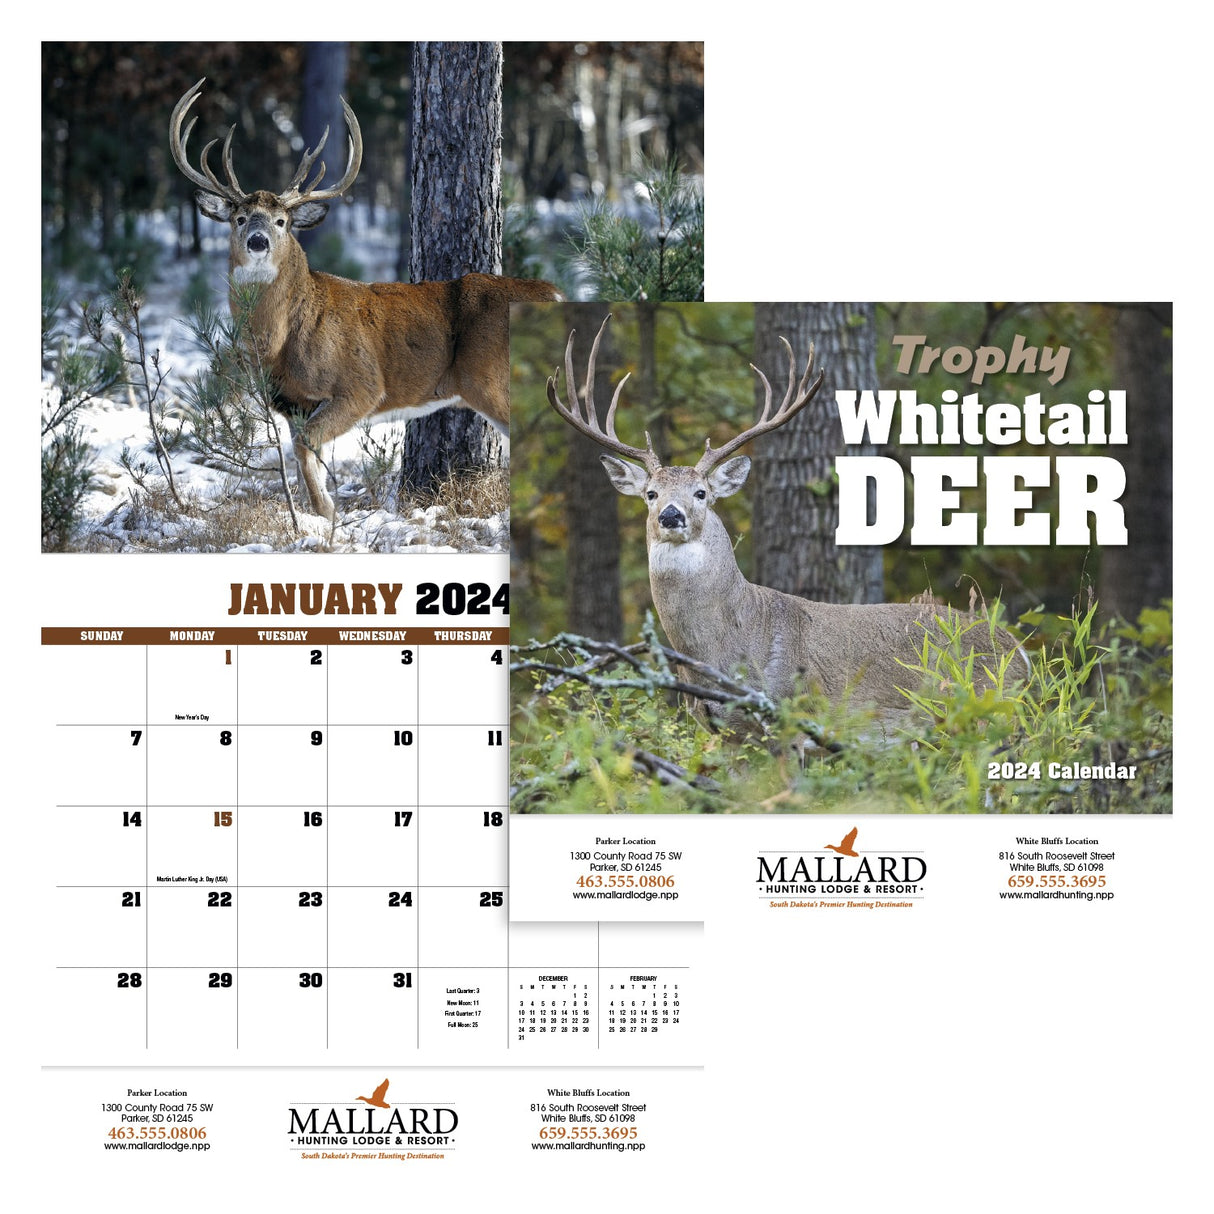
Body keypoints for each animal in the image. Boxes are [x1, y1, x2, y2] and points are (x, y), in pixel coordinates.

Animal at [170, 78, 561, 521]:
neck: (282, 340)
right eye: (238, 219)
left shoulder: (362, 386)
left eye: (281, 221)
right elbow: (304, 456)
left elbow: (306, 447)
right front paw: (315, 514)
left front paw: (327, 515)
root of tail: (553, 291)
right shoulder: (291, 403)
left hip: (492, 380)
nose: (257, 241)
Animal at [546, 317, 1028, 731]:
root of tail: (1021, 652)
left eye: (701, 492)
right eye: (650, 493)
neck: (724, 647)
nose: (670, 515)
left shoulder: (794, 710)